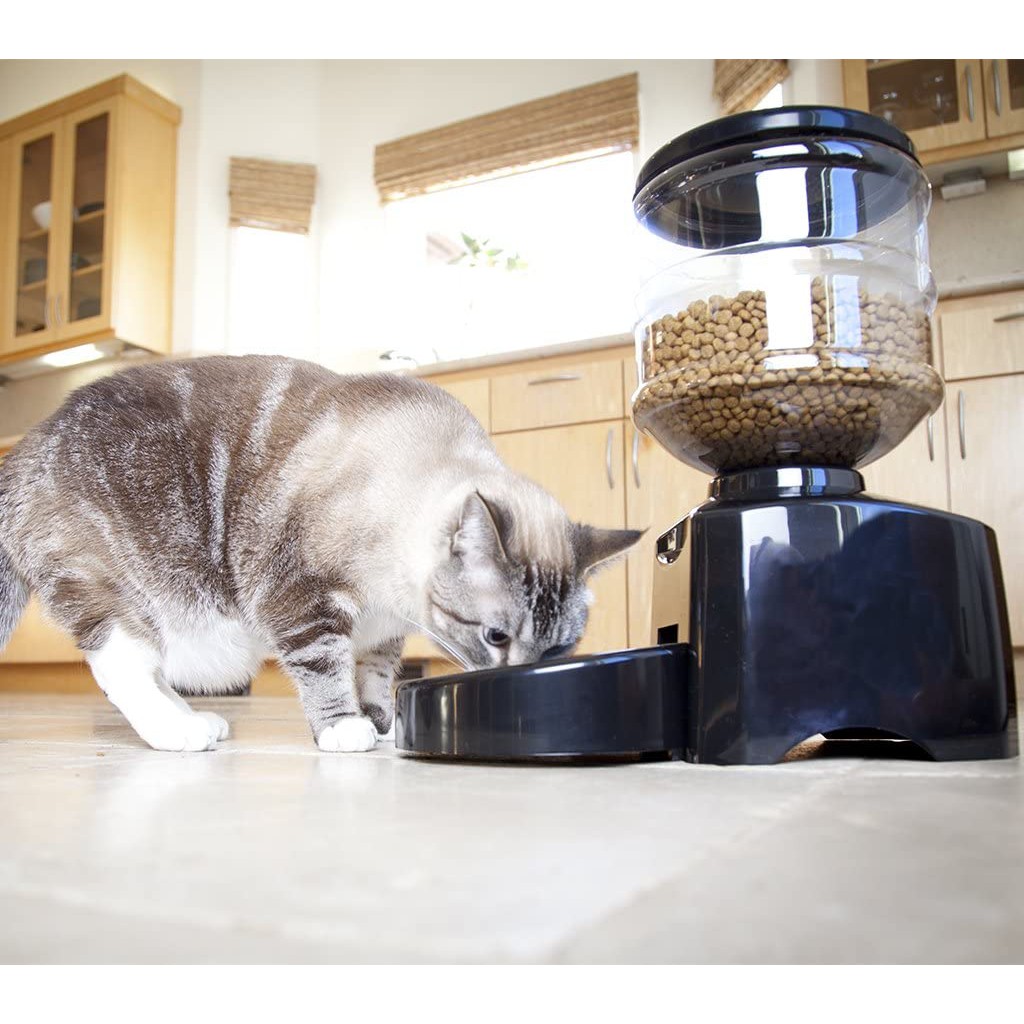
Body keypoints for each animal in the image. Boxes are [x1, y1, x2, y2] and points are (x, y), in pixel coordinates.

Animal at [0, 355, 640, 753]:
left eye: (558, 649)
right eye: (496, 637)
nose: (519, 681)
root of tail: (25, 446)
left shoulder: (383, 631)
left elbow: (375, 675)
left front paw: (380, 724)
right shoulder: (302, 598)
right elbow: (325, 669)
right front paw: (344, 729)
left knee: (151, 674)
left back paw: (196, 722)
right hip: (117, 593)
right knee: (121, 667)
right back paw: (176, 733)